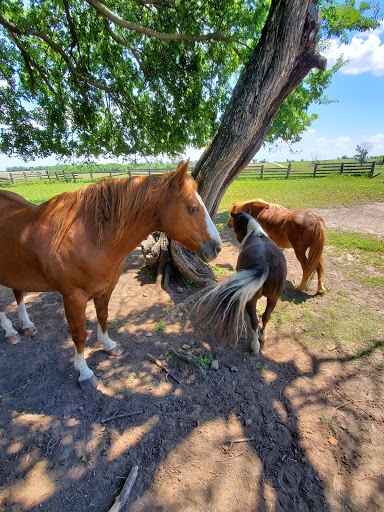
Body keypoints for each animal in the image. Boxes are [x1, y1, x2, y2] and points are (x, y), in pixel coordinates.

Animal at [0, 162, 222, 390]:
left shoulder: (106, 288)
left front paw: (108, 344)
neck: (87, 237)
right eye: (192, 208)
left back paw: (26, 326)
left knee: (18, 292)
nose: (217, 247)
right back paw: (10, 332)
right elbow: (79, 334)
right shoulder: (73, 297)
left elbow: (103, 316)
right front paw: (84, 371)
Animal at [196, 210, 286, 354]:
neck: (255, 232)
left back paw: (255, 346)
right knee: (266, 316)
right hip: (274, 298)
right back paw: (263, 336)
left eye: (235, 224)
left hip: (254, 299)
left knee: (255, 321)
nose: (237, 238)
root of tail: (265, 266)